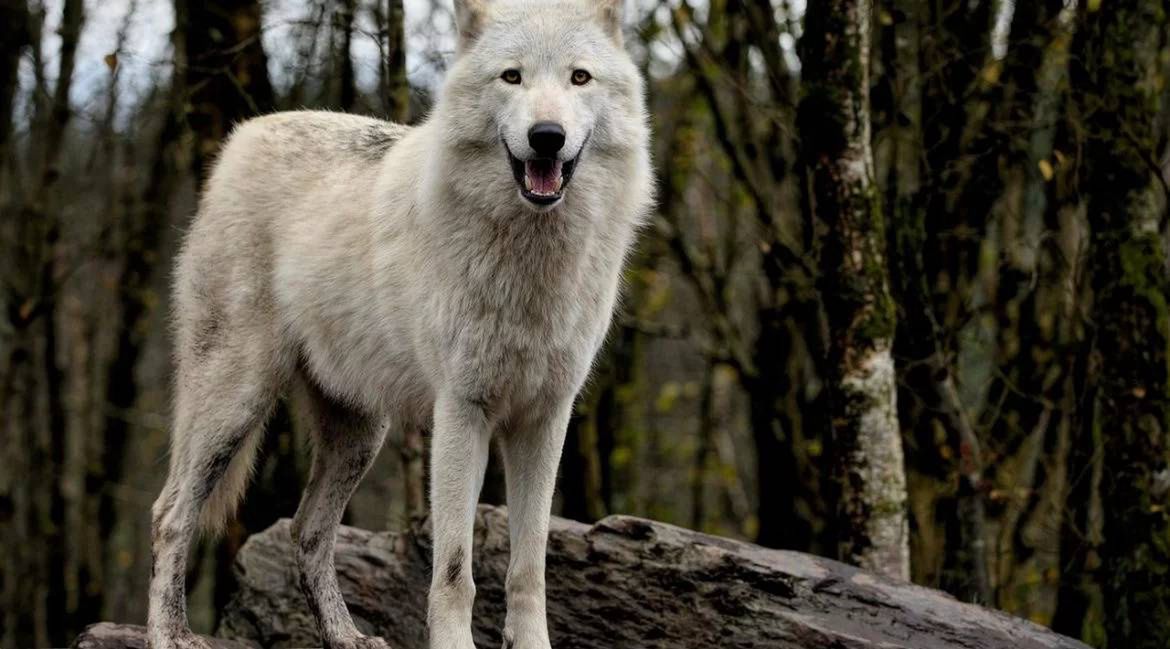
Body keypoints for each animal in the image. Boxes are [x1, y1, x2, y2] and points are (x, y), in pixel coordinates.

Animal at [147, 0, 655, 645]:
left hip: (360, 434)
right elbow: (456, 570)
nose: (547, 136)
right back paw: (168, 633)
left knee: (306, 532)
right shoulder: (462, 412)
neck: (532, 260)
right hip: (235, 402)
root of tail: (241, 138)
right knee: (170, 514)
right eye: (512, 77)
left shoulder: (545, 418)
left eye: (579, 78)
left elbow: (529, 567)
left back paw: (345, 636)